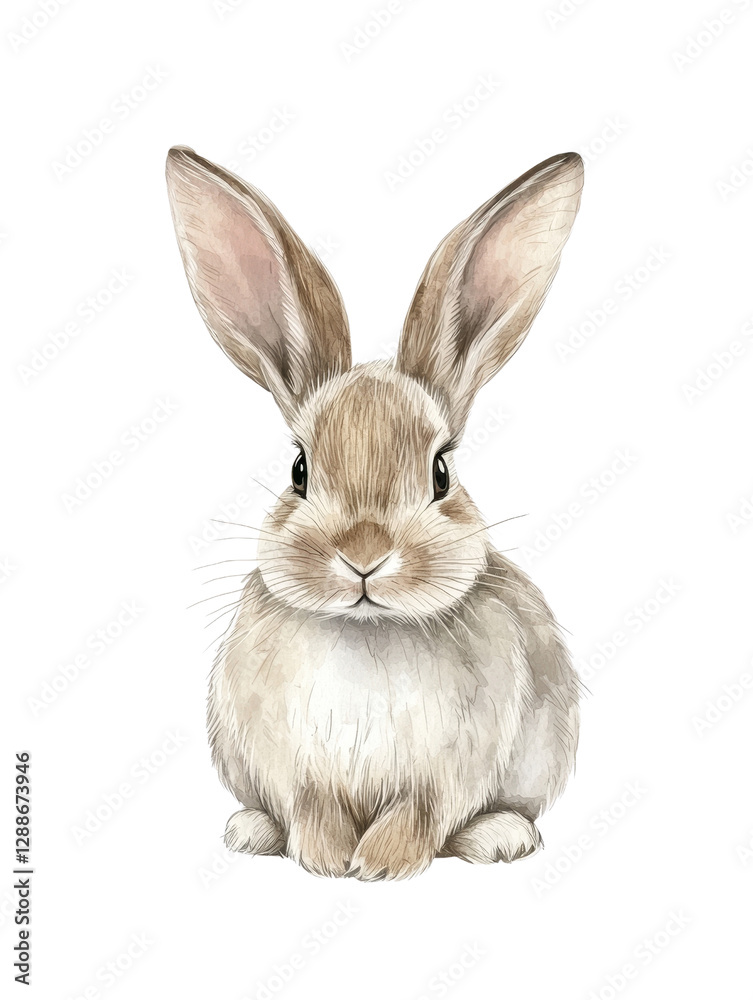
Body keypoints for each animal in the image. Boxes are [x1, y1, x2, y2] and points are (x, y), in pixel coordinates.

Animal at [166, 145, 584, 880]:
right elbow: (312, 807)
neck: (367, 634)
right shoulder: (296, 771)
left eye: (441, 472)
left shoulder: (446, 775)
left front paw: (380, 865)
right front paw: (329, 859)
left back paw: (499, 838)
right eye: (299, 470)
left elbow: (420, 815)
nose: (363, 555)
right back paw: (250, 831)